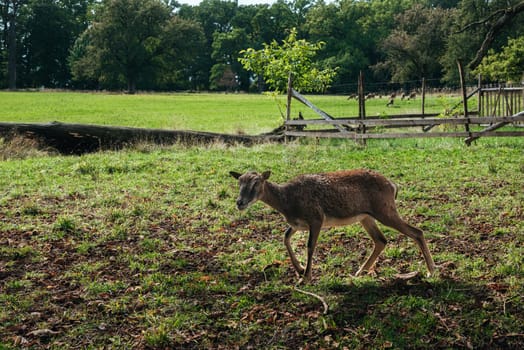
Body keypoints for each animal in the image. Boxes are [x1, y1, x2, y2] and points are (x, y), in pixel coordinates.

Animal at [230, 170, 438, 284]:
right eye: (238, 182)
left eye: (256, 183)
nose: (240, 202)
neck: (288, 203)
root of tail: (393, 186)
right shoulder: (298, 224)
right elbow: (285, 237)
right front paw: (299, 268)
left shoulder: (316, 217)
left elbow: (310, 246)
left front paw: (305, 277)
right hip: (366, 217)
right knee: (381, 240)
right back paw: (359, 272)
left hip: (385, 210)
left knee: (416, 231)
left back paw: (431, 270)